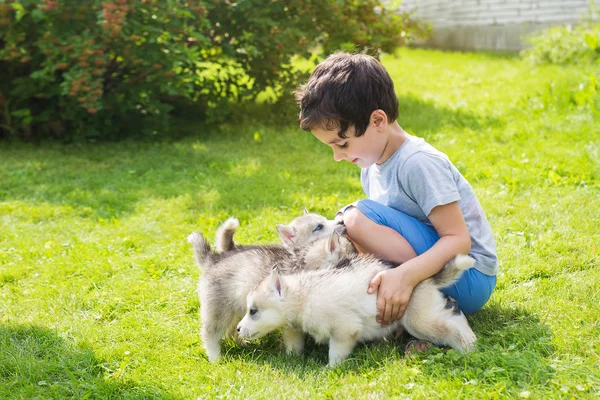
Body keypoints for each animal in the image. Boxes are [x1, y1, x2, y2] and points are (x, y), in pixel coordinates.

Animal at [186, 211, 346, 364]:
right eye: (319, 227)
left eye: (324, 219)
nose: (342, 221)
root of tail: (213, 259)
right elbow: (294, 339)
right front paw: (295, 357)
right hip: (218, 310)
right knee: (210, 333)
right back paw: (215, 358)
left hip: (237, 308)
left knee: (232, 329)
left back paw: (241, 344)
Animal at [237, 233, 476, 368]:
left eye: (253, 311)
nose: (238, 329)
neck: (305, 295)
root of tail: (426, 278)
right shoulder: (294, 327)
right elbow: (294, 345)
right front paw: (290, 358)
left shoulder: (344, 330)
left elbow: (336, 353)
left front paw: (330, 369)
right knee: (454, 315)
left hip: (418, 321)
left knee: (452, 327)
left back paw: (469, 348)